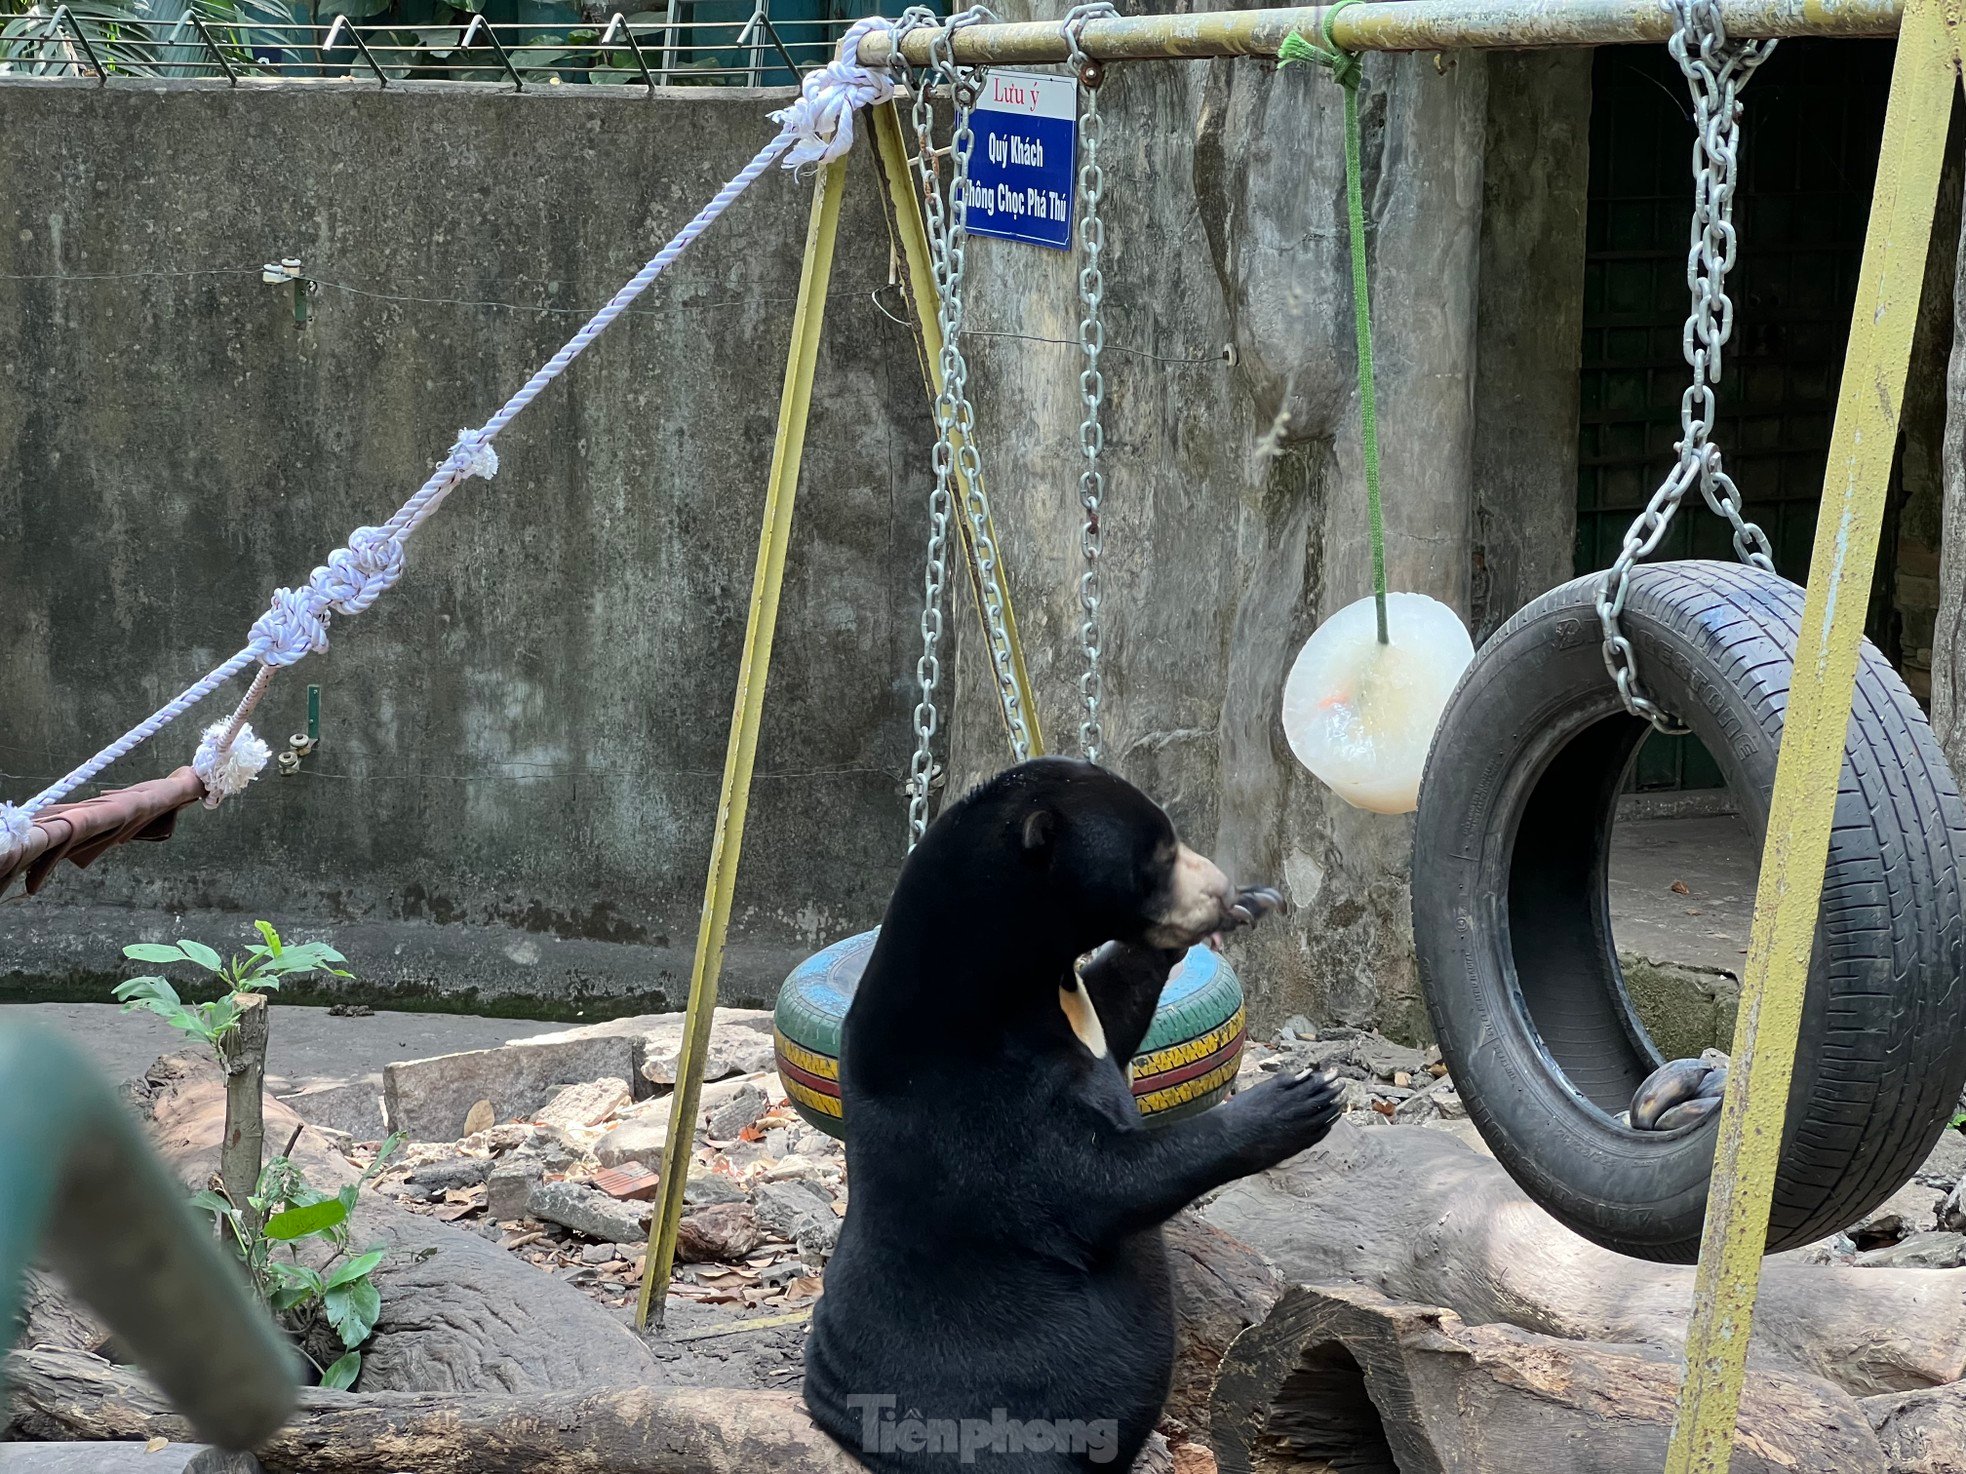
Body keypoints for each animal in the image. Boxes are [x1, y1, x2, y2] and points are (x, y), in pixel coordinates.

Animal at [798, 762, 1336, 1474]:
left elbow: (1117, 1007)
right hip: (993, 1424)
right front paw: (1295, 1100)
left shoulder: (1071, 1018)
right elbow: (1088, 1183)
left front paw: (1256, 899)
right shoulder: (970, 1093)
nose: (1219, 892)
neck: (1012, 979)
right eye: (1156, 857)